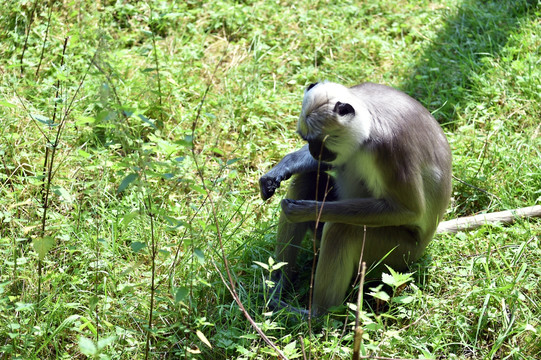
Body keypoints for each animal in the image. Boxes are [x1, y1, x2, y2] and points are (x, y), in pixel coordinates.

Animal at [260, 81, 454, 316]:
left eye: (321, 143)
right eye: (308, 141)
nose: (315, 153)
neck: (370, 121)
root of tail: (424, 244)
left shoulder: (389, 150)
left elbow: (409, 210)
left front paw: (307, 210)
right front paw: (279, 171)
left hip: (400, 253)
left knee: (341, 229)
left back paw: (317, 314)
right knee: (307, 180)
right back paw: (278, 285)